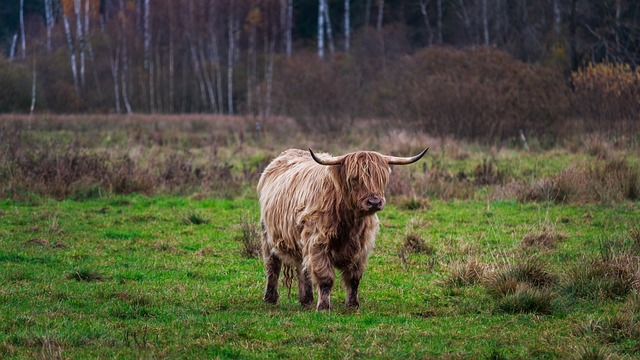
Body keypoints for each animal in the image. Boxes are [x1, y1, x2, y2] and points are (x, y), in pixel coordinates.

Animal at [258, 146, 428, 310]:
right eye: (354, 179)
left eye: (381, 178)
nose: (374, 202)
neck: (349, 221)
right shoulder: (318, 241)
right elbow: (325, 277)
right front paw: (324, 306)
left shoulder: (361, 246)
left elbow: (354, 278)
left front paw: (352, 304)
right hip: (267, 235)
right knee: (272, 265)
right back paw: (270, 298)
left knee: (303, 267)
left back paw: (306, 299)